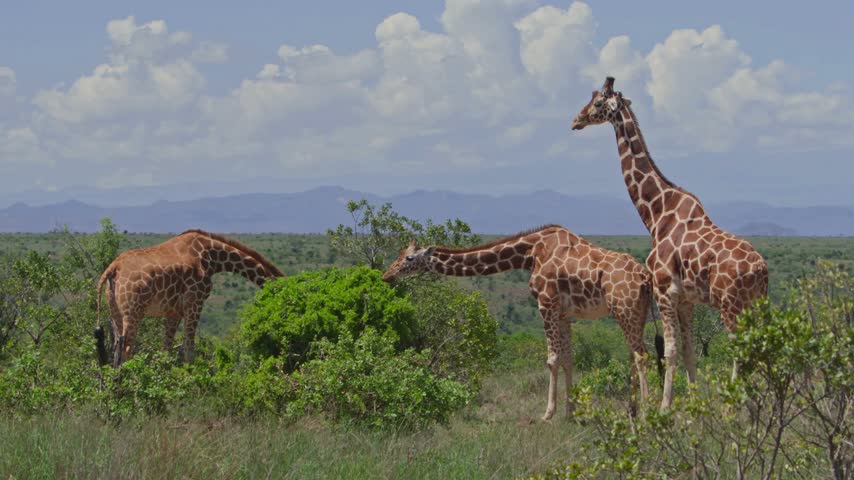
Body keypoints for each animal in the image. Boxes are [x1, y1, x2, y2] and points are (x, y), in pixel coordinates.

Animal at [96, 229, 284, 367]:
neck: (212, 257)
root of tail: (114, 267)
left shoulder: (174, 311)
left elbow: (166, 349)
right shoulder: (195, 302)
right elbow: (188, 348)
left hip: (115, 311)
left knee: (116, 347)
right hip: (134, 311)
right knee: (127, 348)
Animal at [383, 225, 654, 420]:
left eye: (408, 258)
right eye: (399, 255)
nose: (387, 275)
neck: (530, 253)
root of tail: (644, 276)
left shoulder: (546, 304)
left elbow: (552, 359)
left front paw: (547, 414)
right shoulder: (564, 314)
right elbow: (568, 359)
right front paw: (571, 413)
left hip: (624, 310)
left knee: (641, 356)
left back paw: (648, 413)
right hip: (637, 313)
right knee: (634, 355)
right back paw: (632, 411)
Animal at [571, 77, 769, 409]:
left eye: (598, 103)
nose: (576, 120)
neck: (656, 214)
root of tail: (763, 270)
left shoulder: (664, 291)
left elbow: (670, 351)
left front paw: (665, 408)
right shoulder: (686, 299)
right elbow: (689, 350)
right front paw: (695, 404)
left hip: (731, 303)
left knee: (741, 349)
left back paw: (735, 405)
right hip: (755, 303)